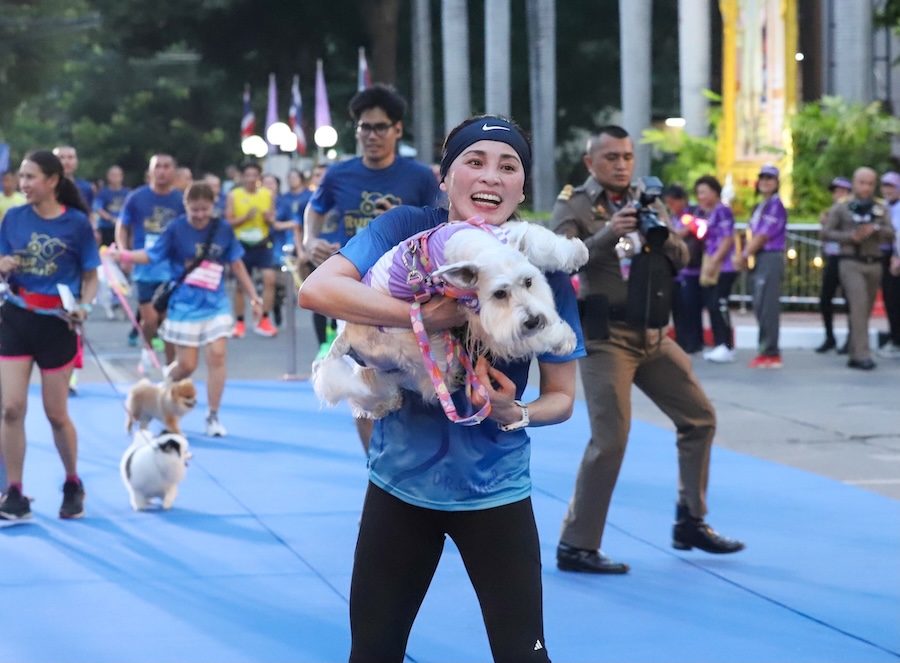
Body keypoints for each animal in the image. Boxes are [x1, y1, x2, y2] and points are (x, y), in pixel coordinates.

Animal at [312, 220, 588, 422]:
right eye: (499, 294)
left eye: (528, 281)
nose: (532, 320)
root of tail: (347, 333)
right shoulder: (483, 321)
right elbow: (520, 337)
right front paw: (563, 339)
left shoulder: (508, 232)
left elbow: (541, 241)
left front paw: (577, 252)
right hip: (412, 342)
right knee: (427, 381)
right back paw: (452, 377)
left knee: (371, 384)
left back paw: (385, 404)